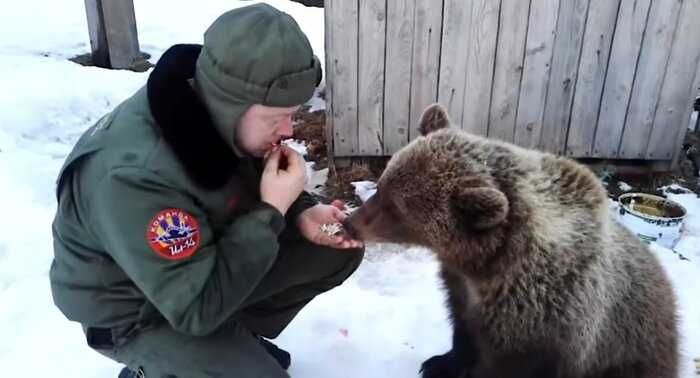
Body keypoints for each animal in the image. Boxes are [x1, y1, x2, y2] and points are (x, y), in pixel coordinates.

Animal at [348, 103, 680, 378]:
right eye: (382, 185)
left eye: (395, 209)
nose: (350, 223)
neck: (486, 265)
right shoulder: (463, 289)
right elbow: (462, 329)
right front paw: (439, 363)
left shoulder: (543, 322)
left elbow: (507, 364)